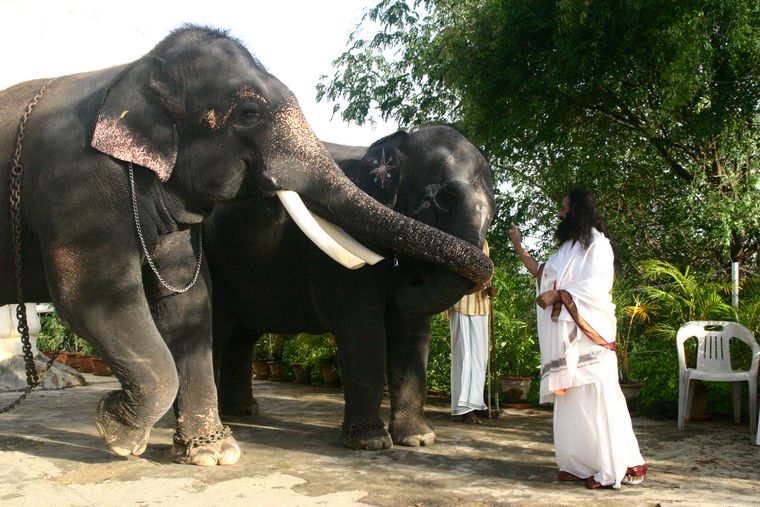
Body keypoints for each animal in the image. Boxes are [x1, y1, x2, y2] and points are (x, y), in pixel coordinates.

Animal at [207, 125, 496, 450]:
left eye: (495, 213)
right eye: (446, 198)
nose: (414, 275)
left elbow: (412, 331)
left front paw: (419, 440)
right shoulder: (338, 249)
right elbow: (363, 329)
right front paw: (372, 443)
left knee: (243, 337)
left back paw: (243, 411)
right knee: (219, 330)